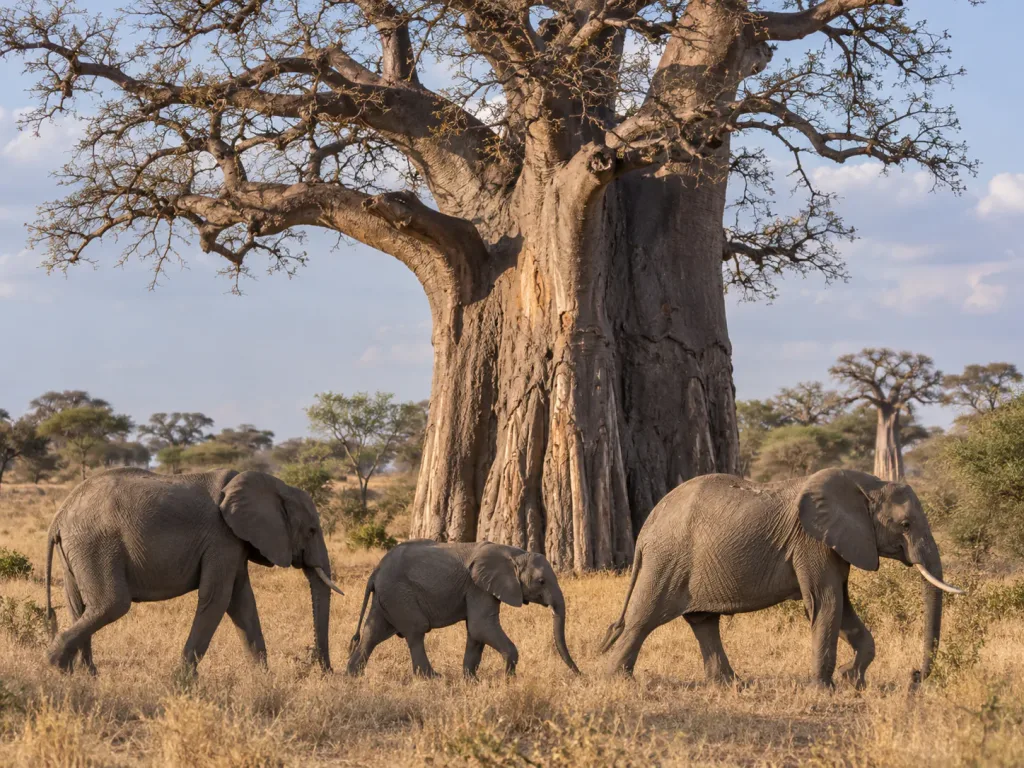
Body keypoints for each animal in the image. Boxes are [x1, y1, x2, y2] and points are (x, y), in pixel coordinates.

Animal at [43, 467, 344, 675]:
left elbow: (242, 602)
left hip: (76, 550)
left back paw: (84, 676)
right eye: (311, 530)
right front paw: (183, 681)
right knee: (112, 603)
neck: (276, 485)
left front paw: (263, 680)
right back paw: (55, 666)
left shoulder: (234, 542)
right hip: (96, 544)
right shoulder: (222, 537)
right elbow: (218, 598)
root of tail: (59, 516)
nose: (327, 671)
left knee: (79, 606)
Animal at [346, 539, 579, 678]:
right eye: (541, 581)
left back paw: (352, 676)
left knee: (372, 633)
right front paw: (508, 679)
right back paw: (432, 678)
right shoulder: (478, 586)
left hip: (388, 597)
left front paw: (470, 679)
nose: (579, 674)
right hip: (399, 594)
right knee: (416, 630)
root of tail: (375, 573)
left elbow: (475, 633)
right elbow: (481, 626)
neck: (514, 553)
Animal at [600, 468, 962, 688]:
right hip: (667, 560)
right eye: (905, 525)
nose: (915, 676)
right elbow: (826, 603)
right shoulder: (812, 542)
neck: (867, 483)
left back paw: (731, 685)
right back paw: (618, 681)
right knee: (643, 619)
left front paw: (851, 680)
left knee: (703, 621)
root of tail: (647, 526)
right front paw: (825, 689)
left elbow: (843, 607)